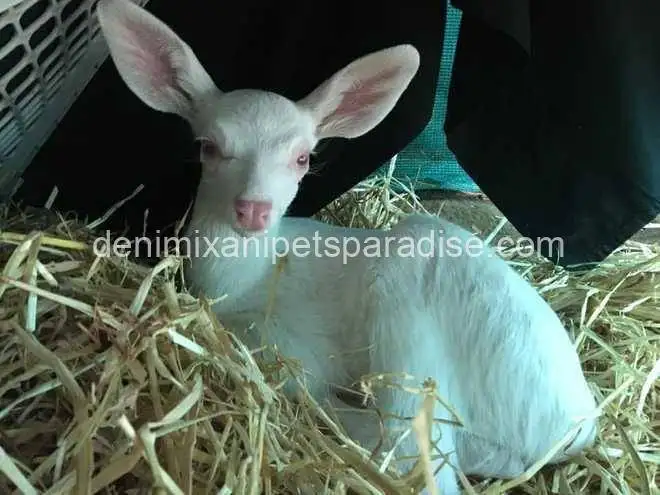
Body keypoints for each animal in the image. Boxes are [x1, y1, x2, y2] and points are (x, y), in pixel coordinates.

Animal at [96, 0, 599, 492]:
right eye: (208, 147)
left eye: (303, 157)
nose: (253, 209)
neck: (246, 280)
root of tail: (577, 429)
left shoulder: (283, 343)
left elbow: (299, 373)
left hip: (413, 310)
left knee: (413, 449)